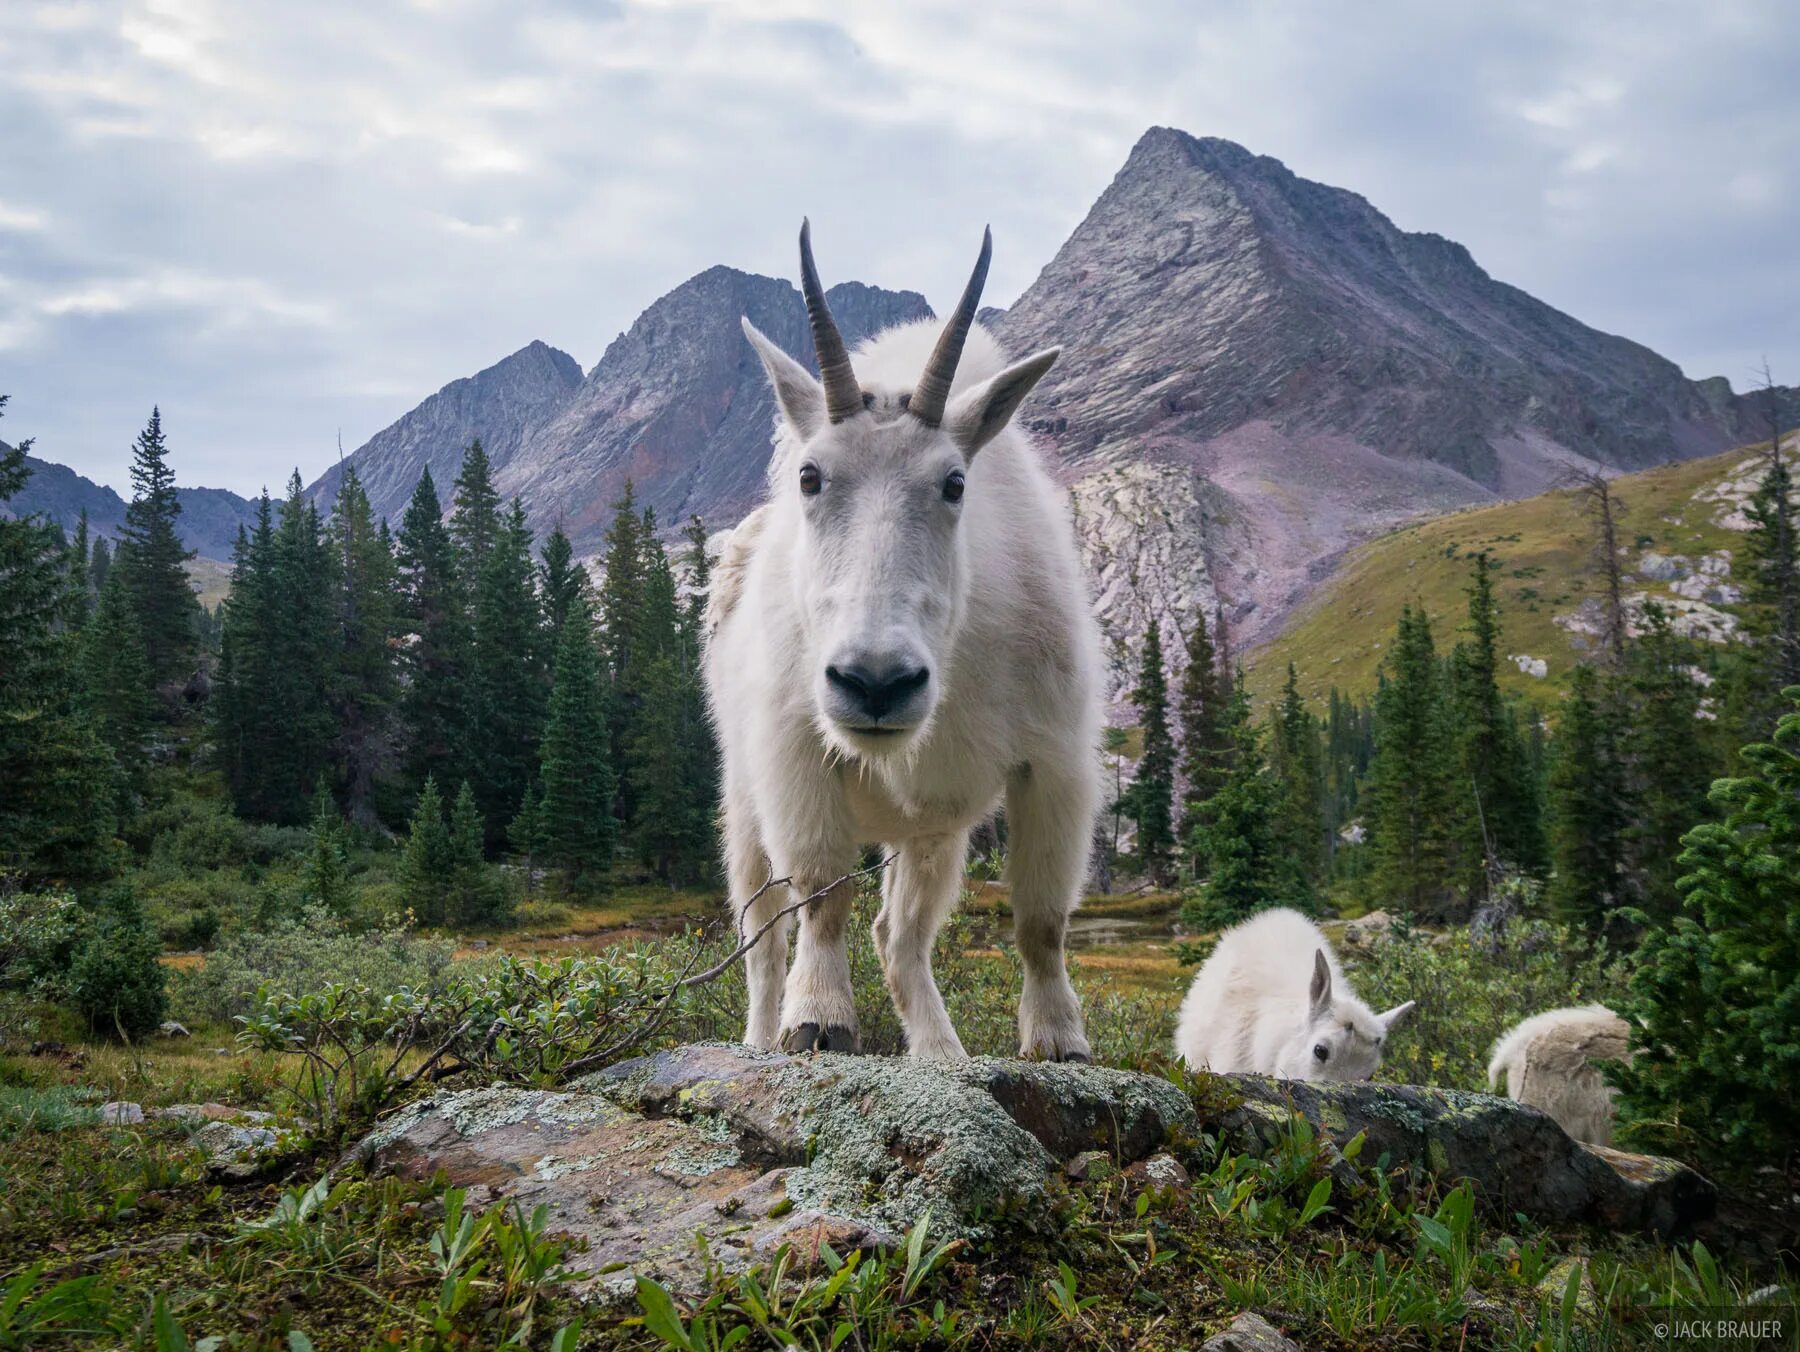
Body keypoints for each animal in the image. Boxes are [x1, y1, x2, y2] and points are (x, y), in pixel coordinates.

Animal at [705, 222, 1101, 1065]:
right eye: (810, 476)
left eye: (955, 482)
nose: (876, 683)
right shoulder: (795, 753)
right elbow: (820, 896)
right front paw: (818, 1022)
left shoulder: (1055, 762)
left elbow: (1042, 920)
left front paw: (1059, 1040)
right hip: (742, 795)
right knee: (761, 936)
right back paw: (760, 1037)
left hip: (932, 832)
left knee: (900, 934)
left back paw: (942, 1052)